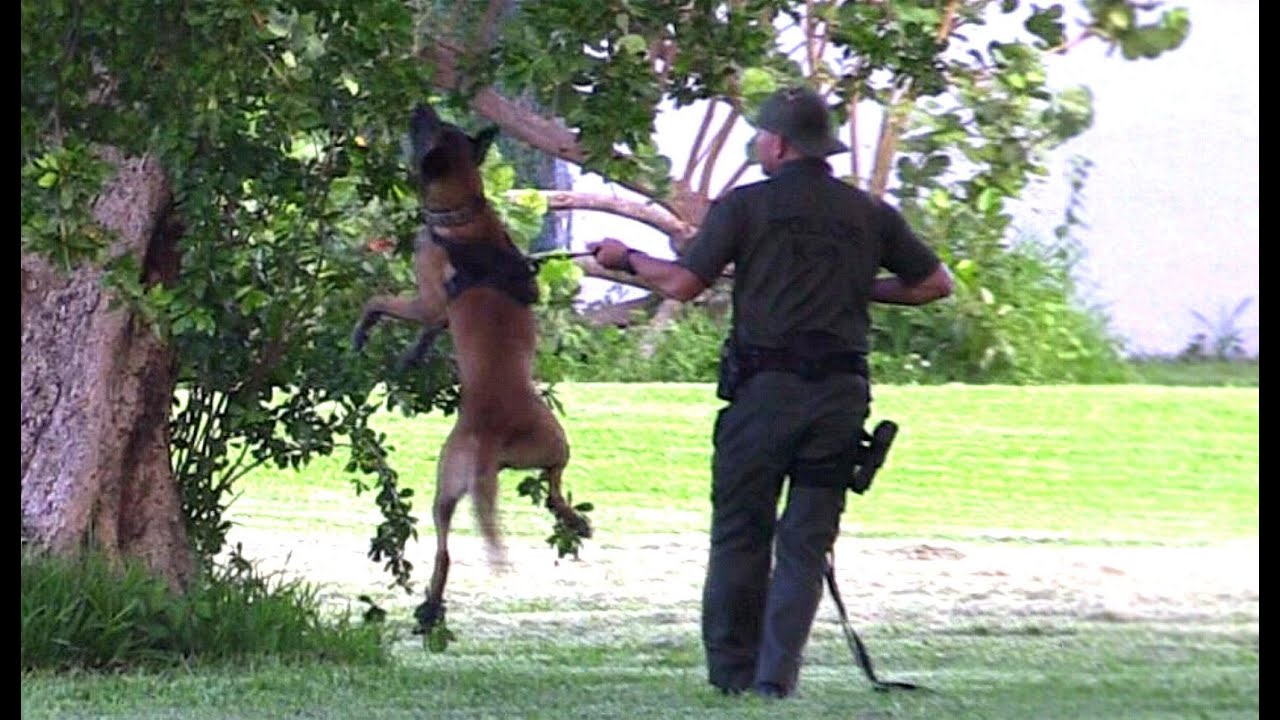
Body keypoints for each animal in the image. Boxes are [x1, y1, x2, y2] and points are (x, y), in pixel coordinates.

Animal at [350, 99, 588, 627]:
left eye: (429, 128)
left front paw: (364, 330)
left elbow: (381, 299)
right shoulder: (437, 312)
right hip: (517, 459)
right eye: (443, 125)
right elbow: (427, 331)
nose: (419, 105)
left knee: (457, 542)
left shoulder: (427, 299)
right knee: (537, 494)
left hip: (471, 468)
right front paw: (412, 354)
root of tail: (490, 438)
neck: (464, 217)